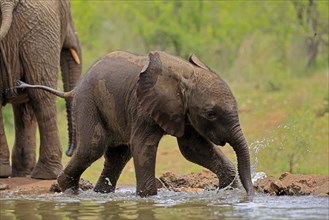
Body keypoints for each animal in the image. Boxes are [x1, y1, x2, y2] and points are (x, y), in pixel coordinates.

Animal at [0, 0, 81, 179]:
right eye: (68, 11)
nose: (70, 151)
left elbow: (24, 106)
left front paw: (22, 174)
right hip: (40, 30)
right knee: (43, 98)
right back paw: (48, 175)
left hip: (36, 29)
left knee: (39, 96)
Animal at [17, 51, 254, 196]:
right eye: (211, 114)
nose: (250, 195)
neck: (185, 74)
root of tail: (75, 89)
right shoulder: (143, 107)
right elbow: (144, 146)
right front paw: (148, 198)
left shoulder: (183, 111)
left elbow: (193, 149)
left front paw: (229, 188)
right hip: (88, 103)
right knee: (93, 146)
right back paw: (70, 190)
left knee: (119, 153)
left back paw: (100, 193)